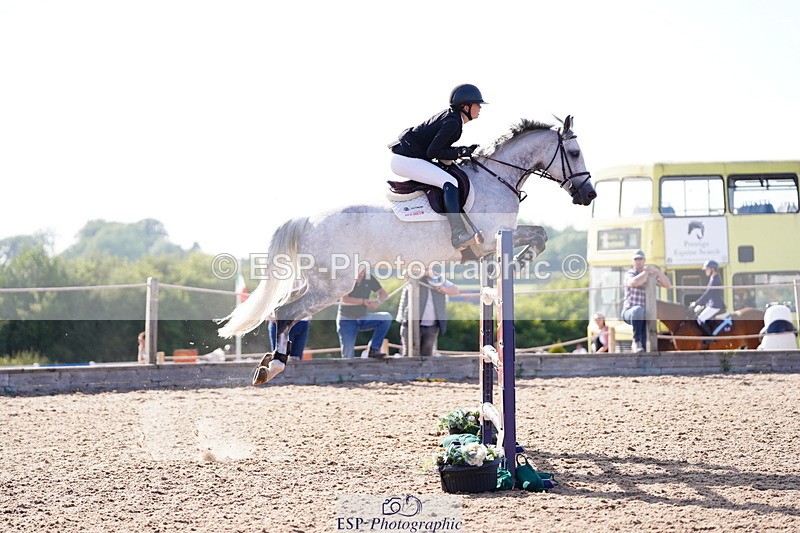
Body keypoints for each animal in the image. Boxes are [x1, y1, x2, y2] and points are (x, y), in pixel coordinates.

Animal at [218, 116, 597, 384]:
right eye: (575, 153)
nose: (588, 194)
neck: (497, 178)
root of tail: (307, 219)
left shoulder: (490, 245)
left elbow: (535, 237)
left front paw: (511, 268)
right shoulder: (491, 238)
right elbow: (539, 236)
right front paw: (519, 264)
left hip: (317, 281)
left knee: (281, 307)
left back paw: (268, 363)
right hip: (334, 285)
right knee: (286, 312)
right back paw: (274, 367)